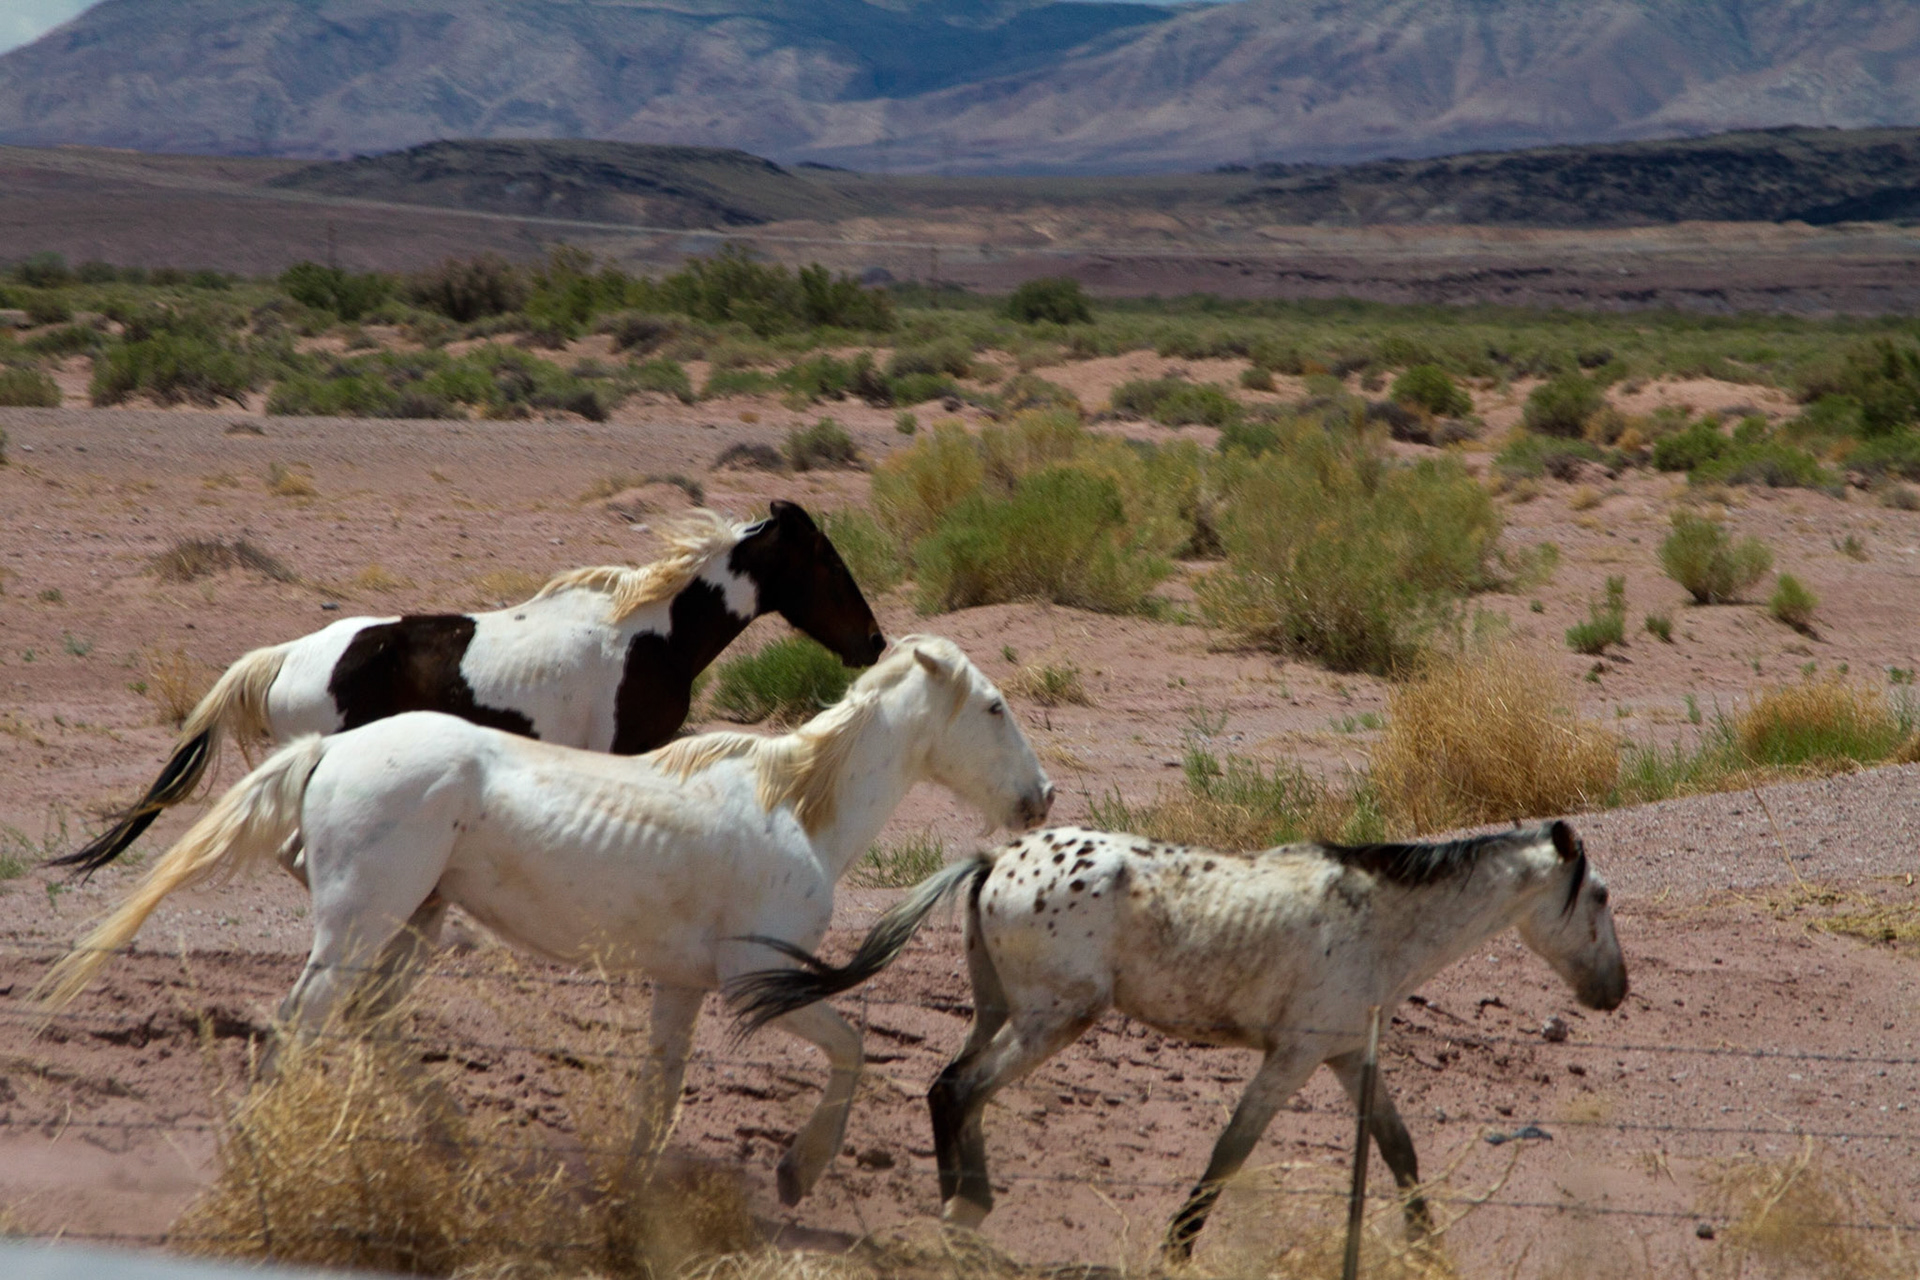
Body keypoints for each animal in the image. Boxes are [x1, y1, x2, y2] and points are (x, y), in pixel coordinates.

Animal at [38, 636, 1052, 1205]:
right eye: (995, 706)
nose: (1042, 796)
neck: (794, 808)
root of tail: (331, 749)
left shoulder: (683, 986)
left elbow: (658, 1094)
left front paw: (631, 1195)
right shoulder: (751, 980)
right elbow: (852, 1049)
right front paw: (799, 1172)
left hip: (414, 927)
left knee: (372, 1023)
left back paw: (456, 1143)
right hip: (361, 927)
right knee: (300, 1027)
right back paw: (265, 1161)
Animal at [730, 820, 1627, 1257]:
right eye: (1602, 896)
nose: (1615, 991)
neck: (1380, 920)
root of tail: (994, 858)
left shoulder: (1342, 1055)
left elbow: (1399, 1150)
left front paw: (1429, 1248)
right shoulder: (1293, 1057)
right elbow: (1230, 1150)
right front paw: (1176, 1246)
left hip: (1001, 1012)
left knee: (953, 1088)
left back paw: (967, 1207)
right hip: (1055, 1017)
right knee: (958, 1090)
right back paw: (961, 1213)